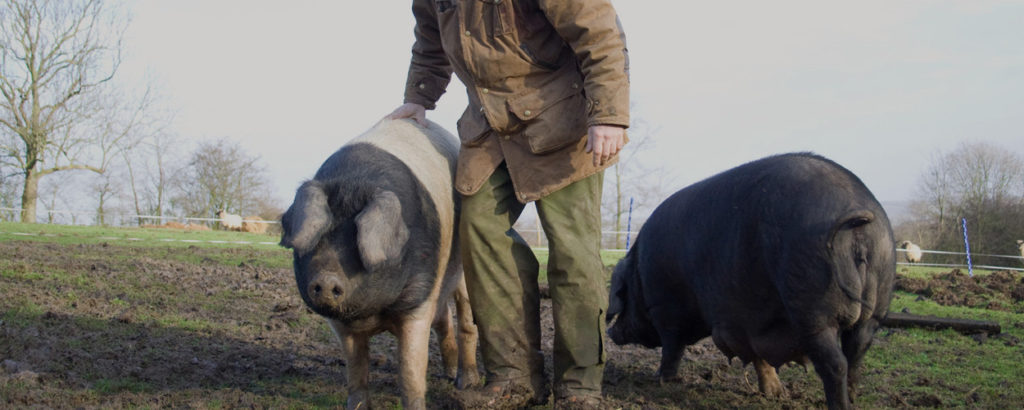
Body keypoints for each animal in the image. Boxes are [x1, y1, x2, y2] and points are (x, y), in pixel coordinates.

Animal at [279, 119, 479, 410]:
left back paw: (466, 383)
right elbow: (356, 368)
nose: (326, 280)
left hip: (461, 271)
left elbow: (409, 371)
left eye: (356, 240)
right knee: (444, 321)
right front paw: (357, 406)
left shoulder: (418, 301)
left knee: (466, 321)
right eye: (319, 239)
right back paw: (449, 373)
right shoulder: (340, 323)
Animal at [607, 153, 896, 410]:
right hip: (875, 308)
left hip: (813, 311)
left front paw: (661, 380)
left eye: (623, 294)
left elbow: (671, 348)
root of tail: (858, 216)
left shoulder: (666, 309)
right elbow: (760, 358)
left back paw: (840, 405)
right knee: (857, 353)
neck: (639, 273)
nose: (610, 332)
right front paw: (775, 394)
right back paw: (853, 398)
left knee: (836, 363)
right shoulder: (748, 321)